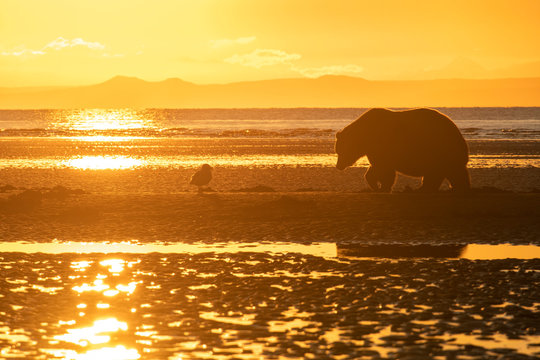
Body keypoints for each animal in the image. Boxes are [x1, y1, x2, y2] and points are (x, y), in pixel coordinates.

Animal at [336, 108, 470, 193]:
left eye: (339, 151)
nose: (338, 166)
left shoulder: (381, 145)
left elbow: (383, 168)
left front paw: (383, 187)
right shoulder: (374, 150)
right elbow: (376, 168)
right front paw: (378, 186)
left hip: (438, 148)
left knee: (439, 172)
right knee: (450, 172)